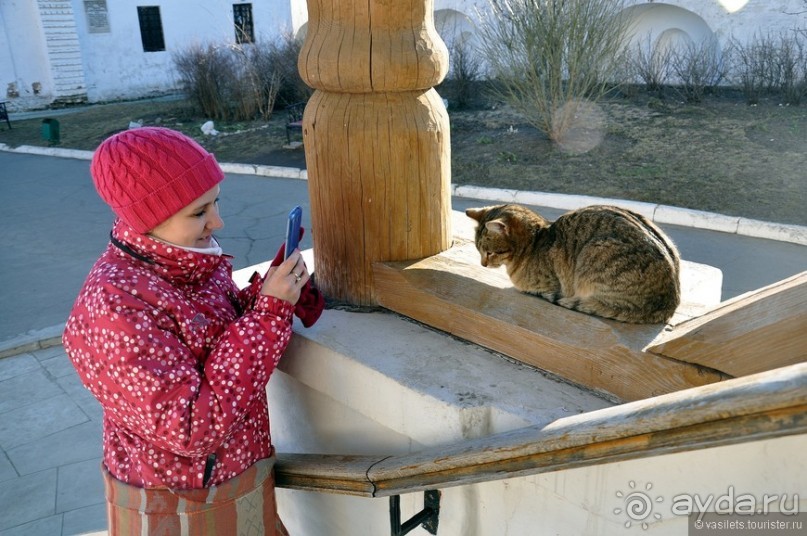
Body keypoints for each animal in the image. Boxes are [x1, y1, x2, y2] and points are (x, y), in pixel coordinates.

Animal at [468, 204, 680, 322]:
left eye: (490, 252)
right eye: (479, 251)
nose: (483, 264)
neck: (535, 242)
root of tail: (670, 304)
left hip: (595, 252)